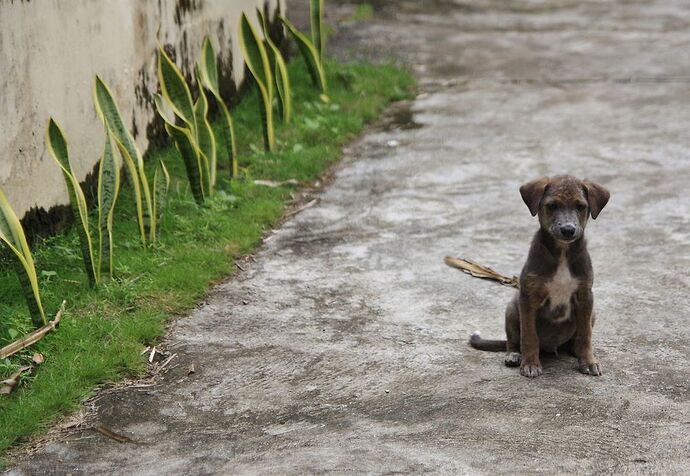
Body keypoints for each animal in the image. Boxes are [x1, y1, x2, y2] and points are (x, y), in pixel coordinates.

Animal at [468, 175, 608, 380]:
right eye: (552, 205)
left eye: (581, 206)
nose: (568, 230)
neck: (562, 253)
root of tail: (551, 347)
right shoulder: (529, 298)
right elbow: (529, 336)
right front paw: (530, 364)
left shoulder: (585, 296)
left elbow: (585, 335)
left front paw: (588, 361)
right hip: (512, 308)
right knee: (513, 341)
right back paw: (514, 355)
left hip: (593, 312)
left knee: (576, 339)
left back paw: (574, 350)